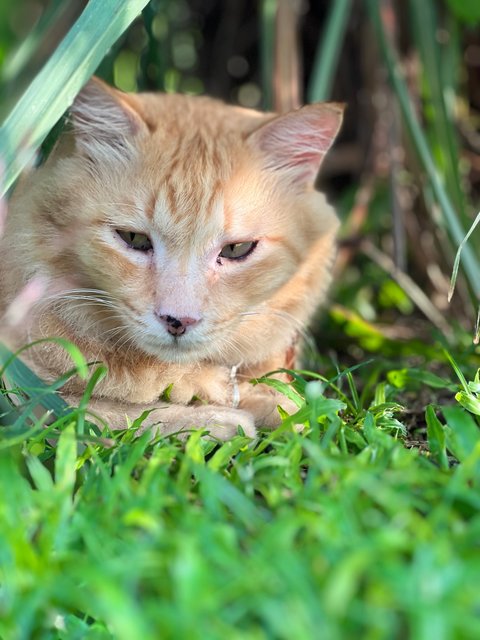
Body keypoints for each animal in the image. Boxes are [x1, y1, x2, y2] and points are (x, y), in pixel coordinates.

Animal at [0, 77, 344, 440]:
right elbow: (121, 415)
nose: (178, 320)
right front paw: (220, 419)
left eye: (236, 249)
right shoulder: (24, 396)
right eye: (134, 239)